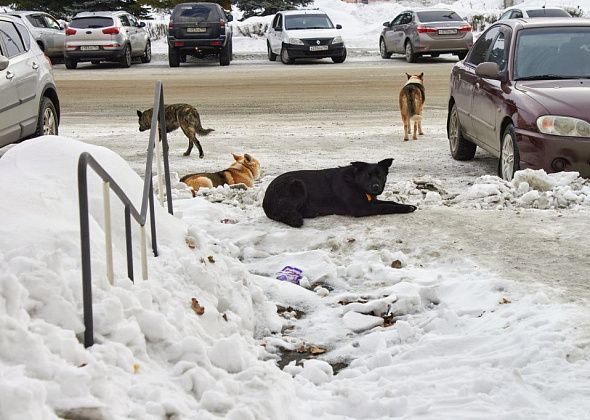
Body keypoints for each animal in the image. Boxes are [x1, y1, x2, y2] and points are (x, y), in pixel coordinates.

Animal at [264, 158, 416, 226]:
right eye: (368, 176)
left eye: (380, 176)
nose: (376, 187)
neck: (355, 183)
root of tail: (265, 201)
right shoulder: (362, 208)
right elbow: (387, 206)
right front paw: (407, 208)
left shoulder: (372, 201)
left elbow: (390, 202)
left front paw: (408, 205)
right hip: (297, 184)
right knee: (284, 213)